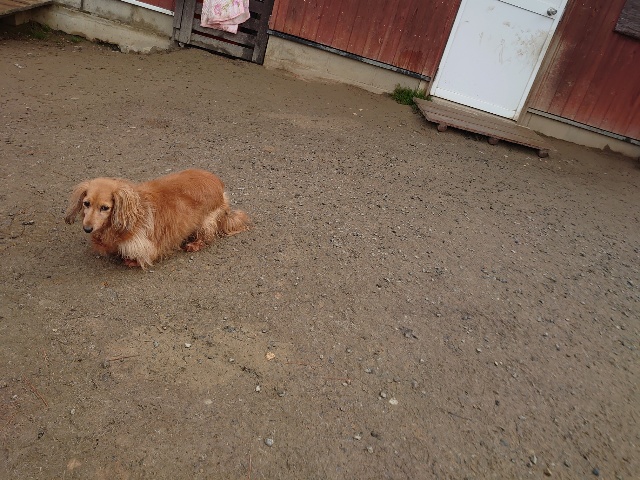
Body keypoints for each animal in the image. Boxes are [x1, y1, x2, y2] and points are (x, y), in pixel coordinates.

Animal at [65, 169, 249, 268]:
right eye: (86, 203)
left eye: (105, 208)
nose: (87, 229)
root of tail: (218, 183)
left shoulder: (144, 244)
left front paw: (130, 261)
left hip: (206, 220)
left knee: (207, 234)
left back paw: (195, 244)